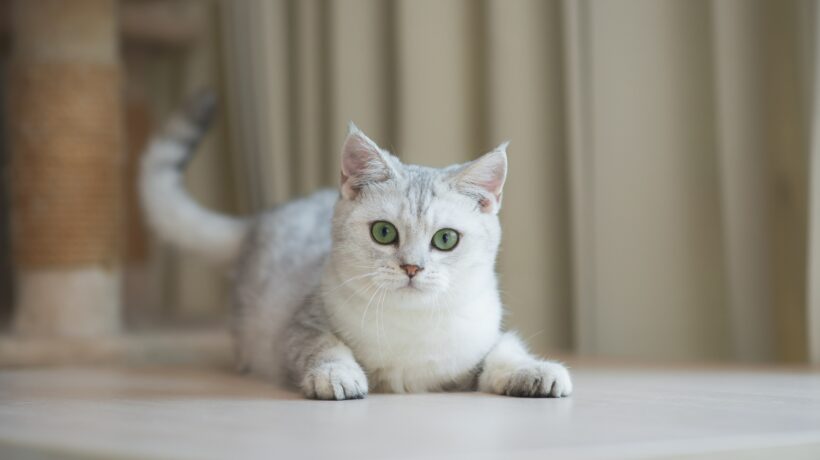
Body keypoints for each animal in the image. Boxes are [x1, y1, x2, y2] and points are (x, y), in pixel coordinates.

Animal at [139, 91, 572, 400]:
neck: (410, 326)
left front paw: (536, 371)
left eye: (446, 239)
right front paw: (338, 375)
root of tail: (263, 218)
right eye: (384, 233)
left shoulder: (485, 340)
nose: (412, 267)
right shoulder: (299, 327)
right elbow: (325, 346)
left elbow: (505, 352)